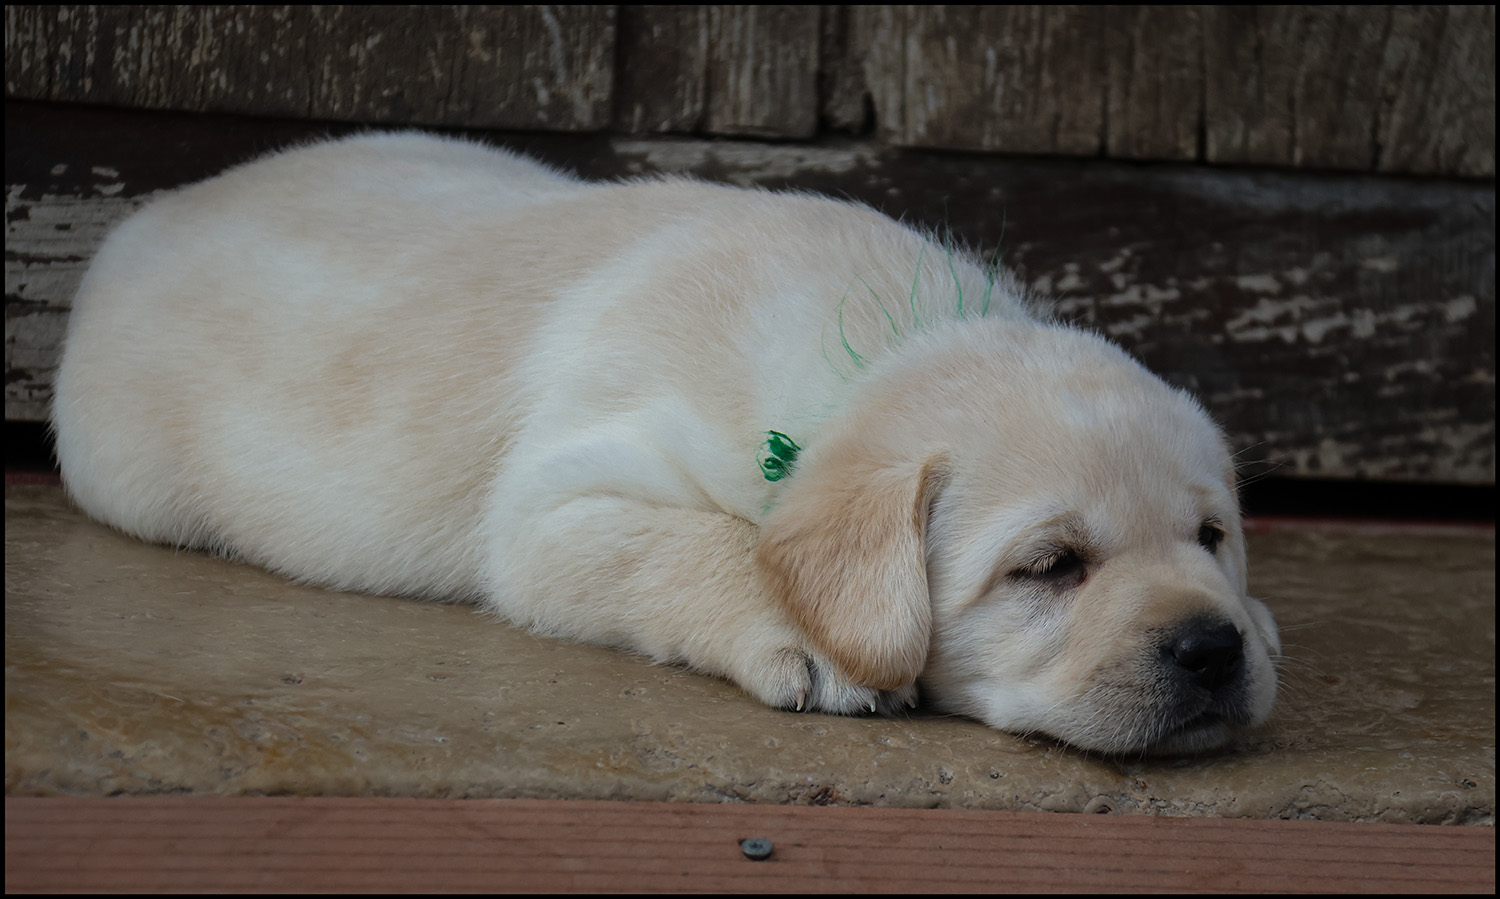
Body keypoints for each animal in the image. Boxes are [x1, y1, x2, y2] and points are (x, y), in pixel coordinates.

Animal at [52, 132, 1280, 754]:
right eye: (1050, 566)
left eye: (1211, 536)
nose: (1213, 648)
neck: (875, 345)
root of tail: (146, 215)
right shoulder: (555, 507)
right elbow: (708, 544)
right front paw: (813, 643)